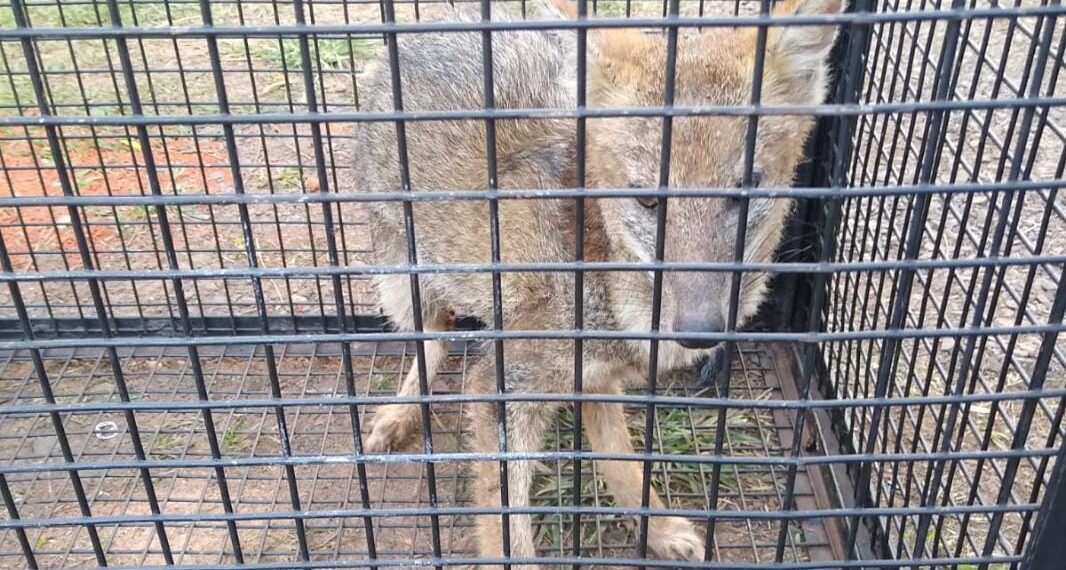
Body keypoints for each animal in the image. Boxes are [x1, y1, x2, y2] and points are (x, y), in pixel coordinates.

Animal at [354, 0, 842, 565]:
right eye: (647, 198)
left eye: (745, 193)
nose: (699, 331)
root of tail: (431, 22)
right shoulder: (502, 384)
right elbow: (506, 524)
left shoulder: (597, 376)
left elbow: (622, 460)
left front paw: (658, 528)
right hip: (404, 279)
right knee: (432, 339)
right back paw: (400, 413)